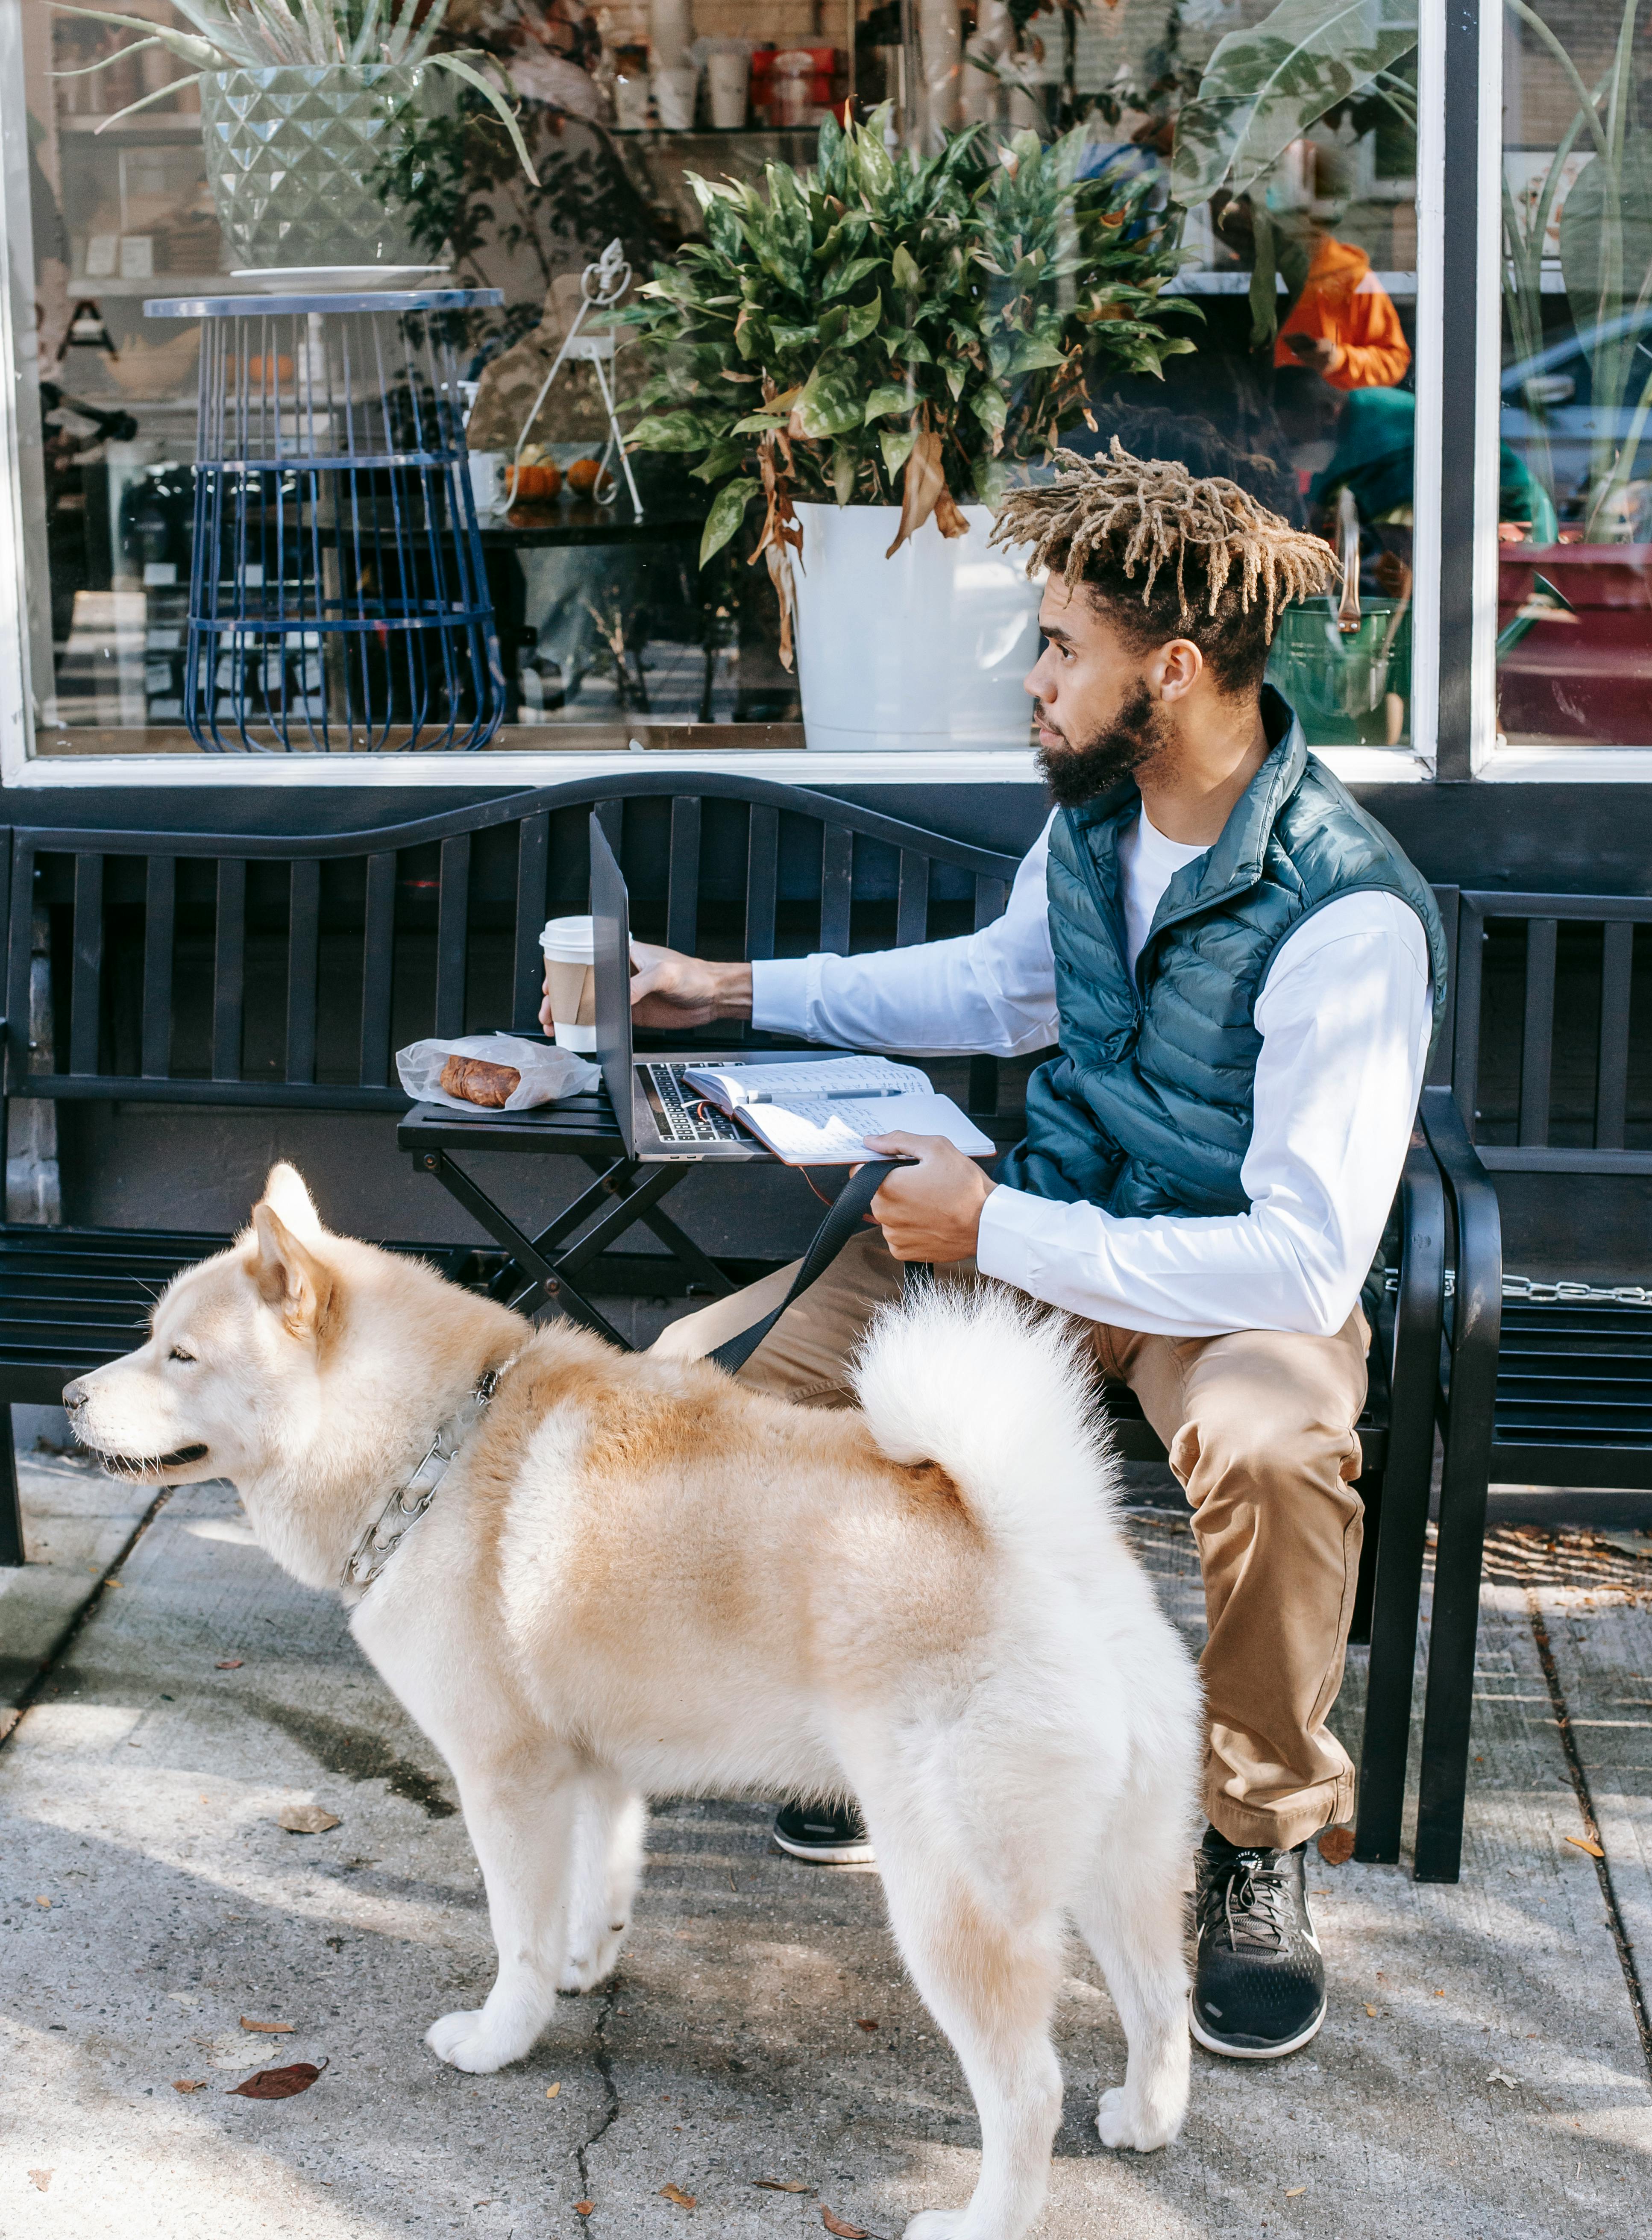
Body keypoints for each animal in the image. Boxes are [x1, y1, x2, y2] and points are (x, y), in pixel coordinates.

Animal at [67, 1173, 1201, 2240]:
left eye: (180, 1356)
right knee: (1160, 2002)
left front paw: (500, 2037)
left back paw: (979, 2222)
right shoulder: (595, 1770)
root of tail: (1033, 1538)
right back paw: (1145, 2121)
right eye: (152, 1339)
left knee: (1029, 2091)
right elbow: (594, 1889)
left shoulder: (506, 1780)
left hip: (947, 1900)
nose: (72, 1396)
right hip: (1120, 1869)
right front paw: (584, 1966)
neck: (435, 1453)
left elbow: (515, 1935)